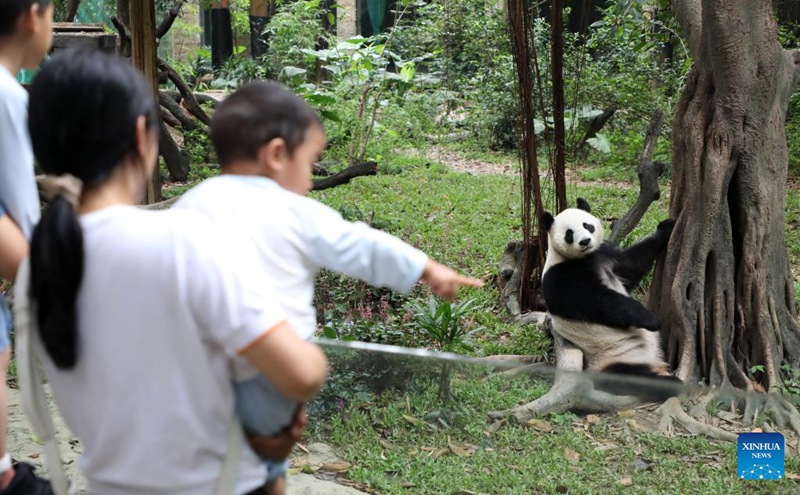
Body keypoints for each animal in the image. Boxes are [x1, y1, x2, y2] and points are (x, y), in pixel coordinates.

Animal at [540, 199, 680, 404]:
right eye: (569, 234)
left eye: (587, 225)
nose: (585, 241)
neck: (583, 258)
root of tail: (654, 363)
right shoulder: (559, 277)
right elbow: (598, 302)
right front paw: (651, 320)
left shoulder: (605, 254)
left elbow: (633, 263)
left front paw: (666, 228)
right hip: (611, 359)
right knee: (632, 379)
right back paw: (674, 383)